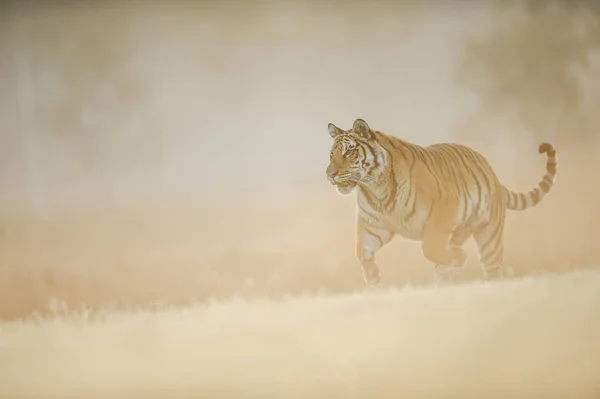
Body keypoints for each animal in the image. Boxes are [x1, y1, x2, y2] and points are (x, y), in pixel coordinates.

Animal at [324, 117, 556, 286]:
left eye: (349, 151)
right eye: (331, 154)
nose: (330, 174)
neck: (375, 187)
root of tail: (495, 176)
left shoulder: (444, 208)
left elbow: (429, 248)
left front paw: (460, 257)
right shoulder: (372, 225)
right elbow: (361, 251)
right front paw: (373, 277)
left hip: (489, 236)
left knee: (492, 269)